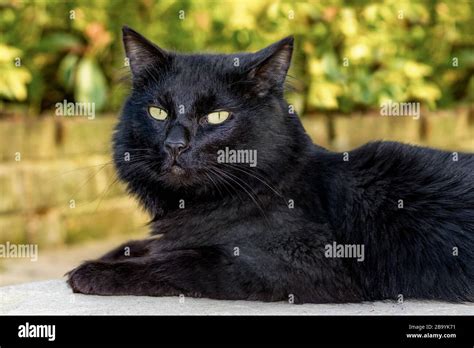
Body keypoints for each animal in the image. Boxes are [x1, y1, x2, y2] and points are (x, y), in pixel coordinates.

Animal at [67, 25, 474, 304]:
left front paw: (93, 272)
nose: (175, 145)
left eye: (217, 116)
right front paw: (106, 256)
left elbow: (183, 260)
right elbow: (145, 245)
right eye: (158, 112)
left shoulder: (306, 264)